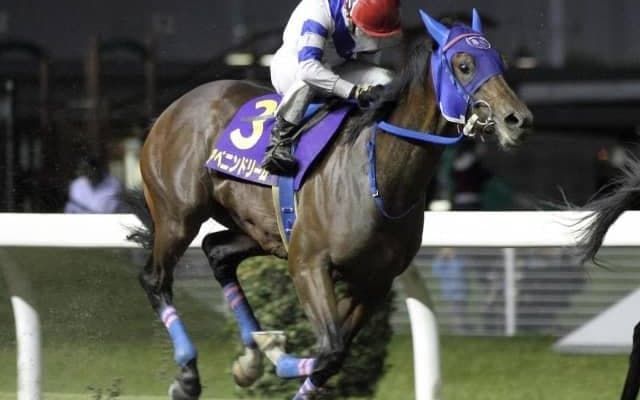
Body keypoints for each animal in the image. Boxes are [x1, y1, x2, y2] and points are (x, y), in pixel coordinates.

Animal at [125, 9, 533, 400]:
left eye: (499, 60)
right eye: (464, 64)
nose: (518, 119)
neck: (378, 174)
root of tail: (173, 108)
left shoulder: (374, 282)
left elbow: (332, 360)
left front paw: (266, 355)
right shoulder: (309, 264)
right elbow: (329, 351)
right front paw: (278, 352)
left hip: (262, 232)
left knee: (217, 251)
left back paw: (250, 359)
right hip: (178, 217)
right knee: (155, 279)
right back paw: (189, 376)